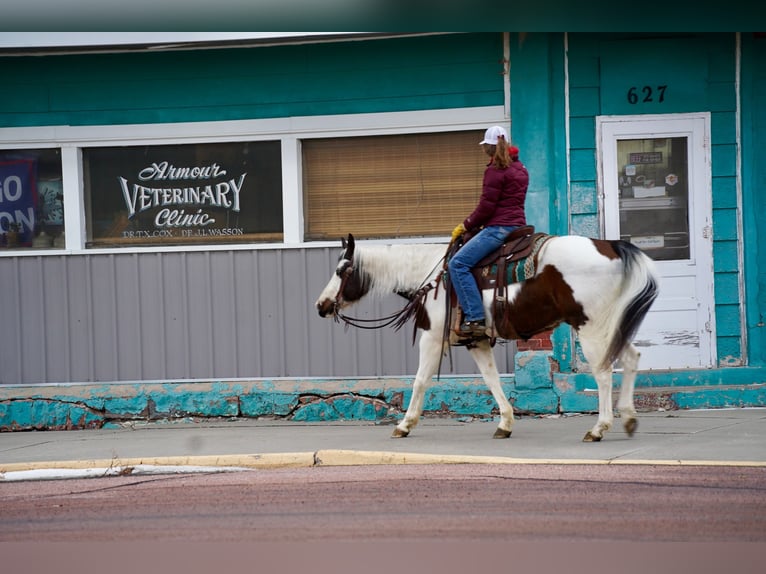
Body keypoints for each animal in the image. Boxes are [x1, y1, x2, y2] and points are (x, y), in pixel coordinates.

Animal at [316, 233, 664, 446]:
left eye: (341, 270)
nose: (321, 305)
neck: (432, 277)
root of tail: (610, 246)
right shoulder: (477, 340)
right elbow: (492, 379)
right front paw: (505, 423)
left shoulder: (432, 337)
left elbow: (420, 381)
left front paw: (404, 425)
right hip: (609, 326)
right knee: (631, 359)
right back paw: (629, 418)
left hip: (590, 326)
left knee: (603, 373)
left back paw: (599, 428)